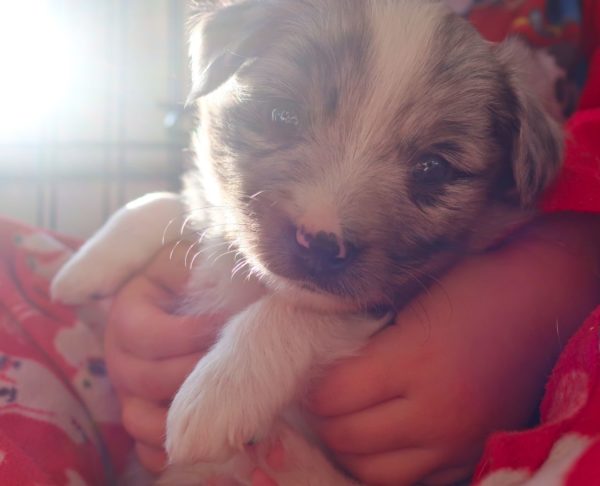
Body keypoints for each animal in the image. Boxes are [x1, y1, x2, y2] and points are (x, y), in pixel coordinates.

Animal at [50, 1, 564, 484]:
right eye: (283, 115)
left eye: (432, 168)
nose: (318, 243)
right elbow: (180, 203)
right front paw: (86, 266)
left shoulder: (387, 296)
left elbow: (291, 313)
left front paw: (217, 394)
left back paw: (289, 460)